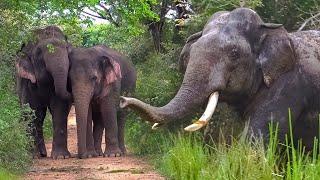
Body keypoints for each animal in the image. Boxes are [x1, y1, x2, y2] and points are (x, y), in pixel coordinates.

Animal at [16, 25, 72, 158]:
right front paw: (33, 155)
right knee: (38, 116)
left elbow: (60, 109)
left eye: (67, 50)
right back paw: (39, 154)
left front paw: (61, 157)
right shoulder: (27, 82)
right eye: (39, 53)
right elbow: (31, 111)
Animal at [119, 7, 320, 150]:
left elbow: (258, 135)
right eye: (190, 53)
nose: (122, 100)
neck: (269, 28)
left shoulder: (288, 85)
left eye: (234, 53)